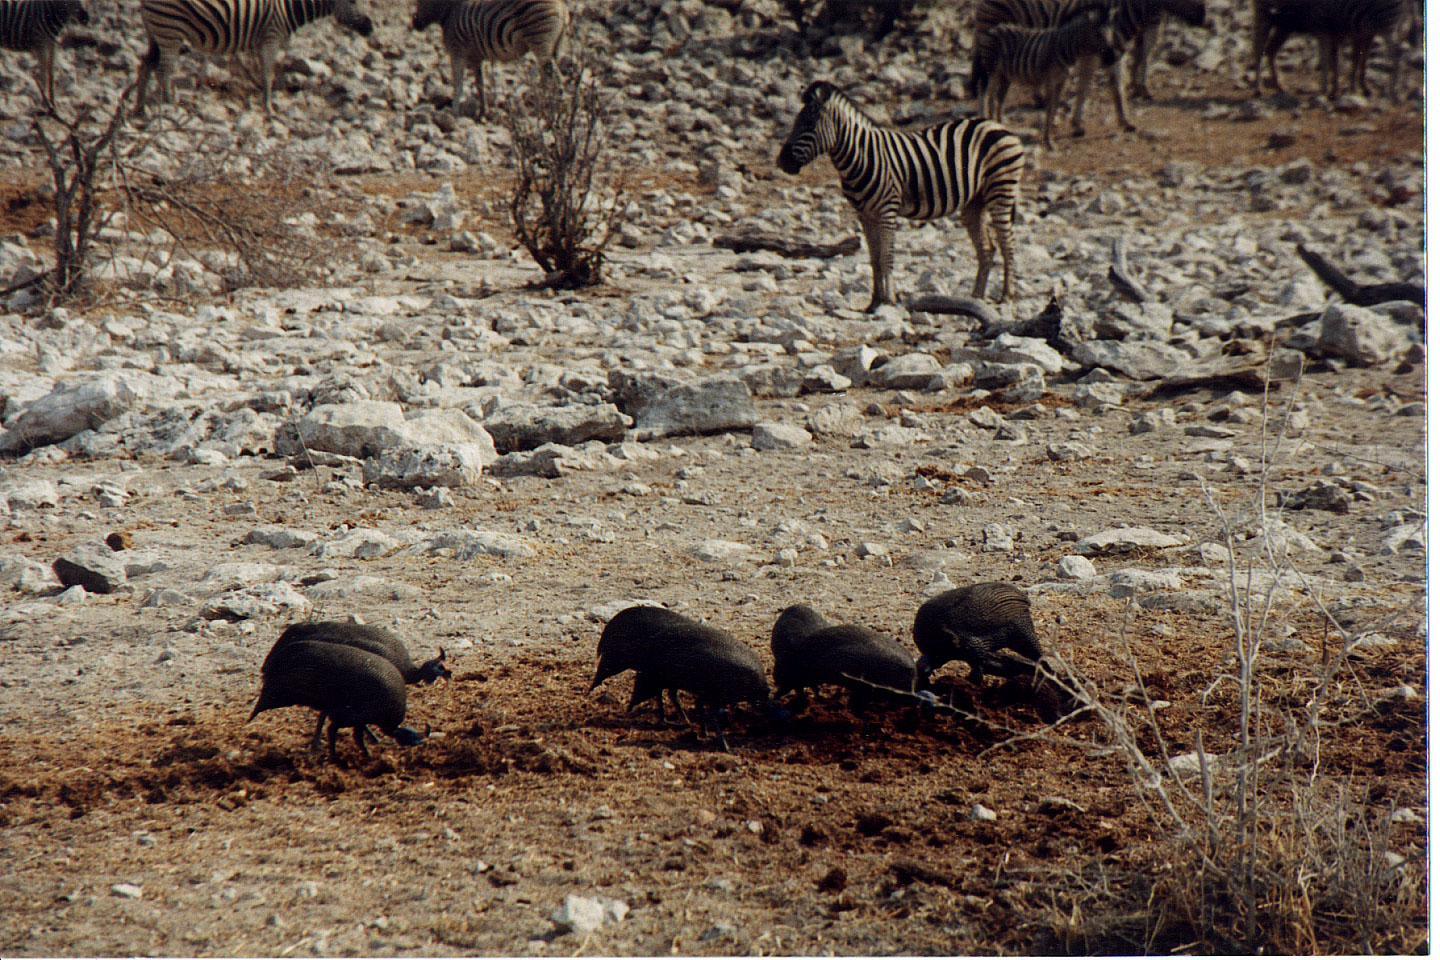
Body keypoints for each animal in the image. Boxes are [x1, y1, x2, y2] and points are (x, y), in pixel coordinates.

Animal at [133, 0, 377, 115]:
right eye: (353, 1)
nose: (370, 28)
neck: (292, 7)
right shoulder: (271, 35)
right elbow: (268, 73)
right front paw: (270, 108)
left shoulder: (261, 41)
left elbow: (262, 73)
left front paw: (263, 103)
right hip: (171, 30)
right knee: (164, 70)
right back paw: (169, 105)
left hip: (156, 32)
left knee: (146, 65)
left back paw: (140, 109)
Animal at [411, 0, 567, 119]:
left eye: (419, 1)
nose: (414, 25)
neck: (449, 11)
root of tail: (561, 5)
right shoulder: (475, 58)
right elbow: (479, 84)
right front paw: (482, 113)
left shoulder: (457, 52)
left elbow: (458, 84)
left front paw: (453, 112)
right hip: (553, 48)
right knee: (552, 77)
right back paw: (553, 108)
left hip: (540, 43)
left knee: (550, 76)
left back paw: (552, 109)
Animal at [777, 82, 1025, 309]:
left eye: (809, 124)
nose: (781, 162)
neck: (860, 157)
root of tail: (997, 125)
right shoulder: (864, 215)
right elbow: (874, 259)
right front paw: (874, 302)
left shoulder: (887, 211)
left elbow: (886, 257)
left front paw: (888, 301)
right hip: (975, 201)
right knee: (987, 249)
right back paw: (976, 298)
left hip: (1001, 188)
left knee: (1008, 243)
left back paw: (1006, 295)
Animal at [967, 6, 1123, 148]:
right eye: (1099, 35)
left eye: (1110, 34)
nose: (1113, 57)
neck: (1066, 47)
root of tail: (993, 29)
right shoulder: (1049, 80)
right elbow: (1048, 109)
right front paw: (1048, 141)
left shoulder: (1061, 81)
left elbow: (1054, 108)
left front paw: (1051, 138)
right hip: (991, 70)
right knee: (987, 95)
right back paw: (988, 124)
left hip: (1004, 75)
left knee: (998, 99)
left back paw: (1001, 128)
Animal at [1255, 0, 1399, 100]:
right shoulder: (1332, 30)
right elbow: (1336, 60)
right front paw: (1335, 91)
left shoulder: (1354, 33)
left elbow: (1353, 60)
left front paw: (1349, 89)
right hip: (1267, 18)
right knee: (1260, 50)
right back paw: (1260, 89)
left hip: (1283, 26)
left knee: (1269, 50)